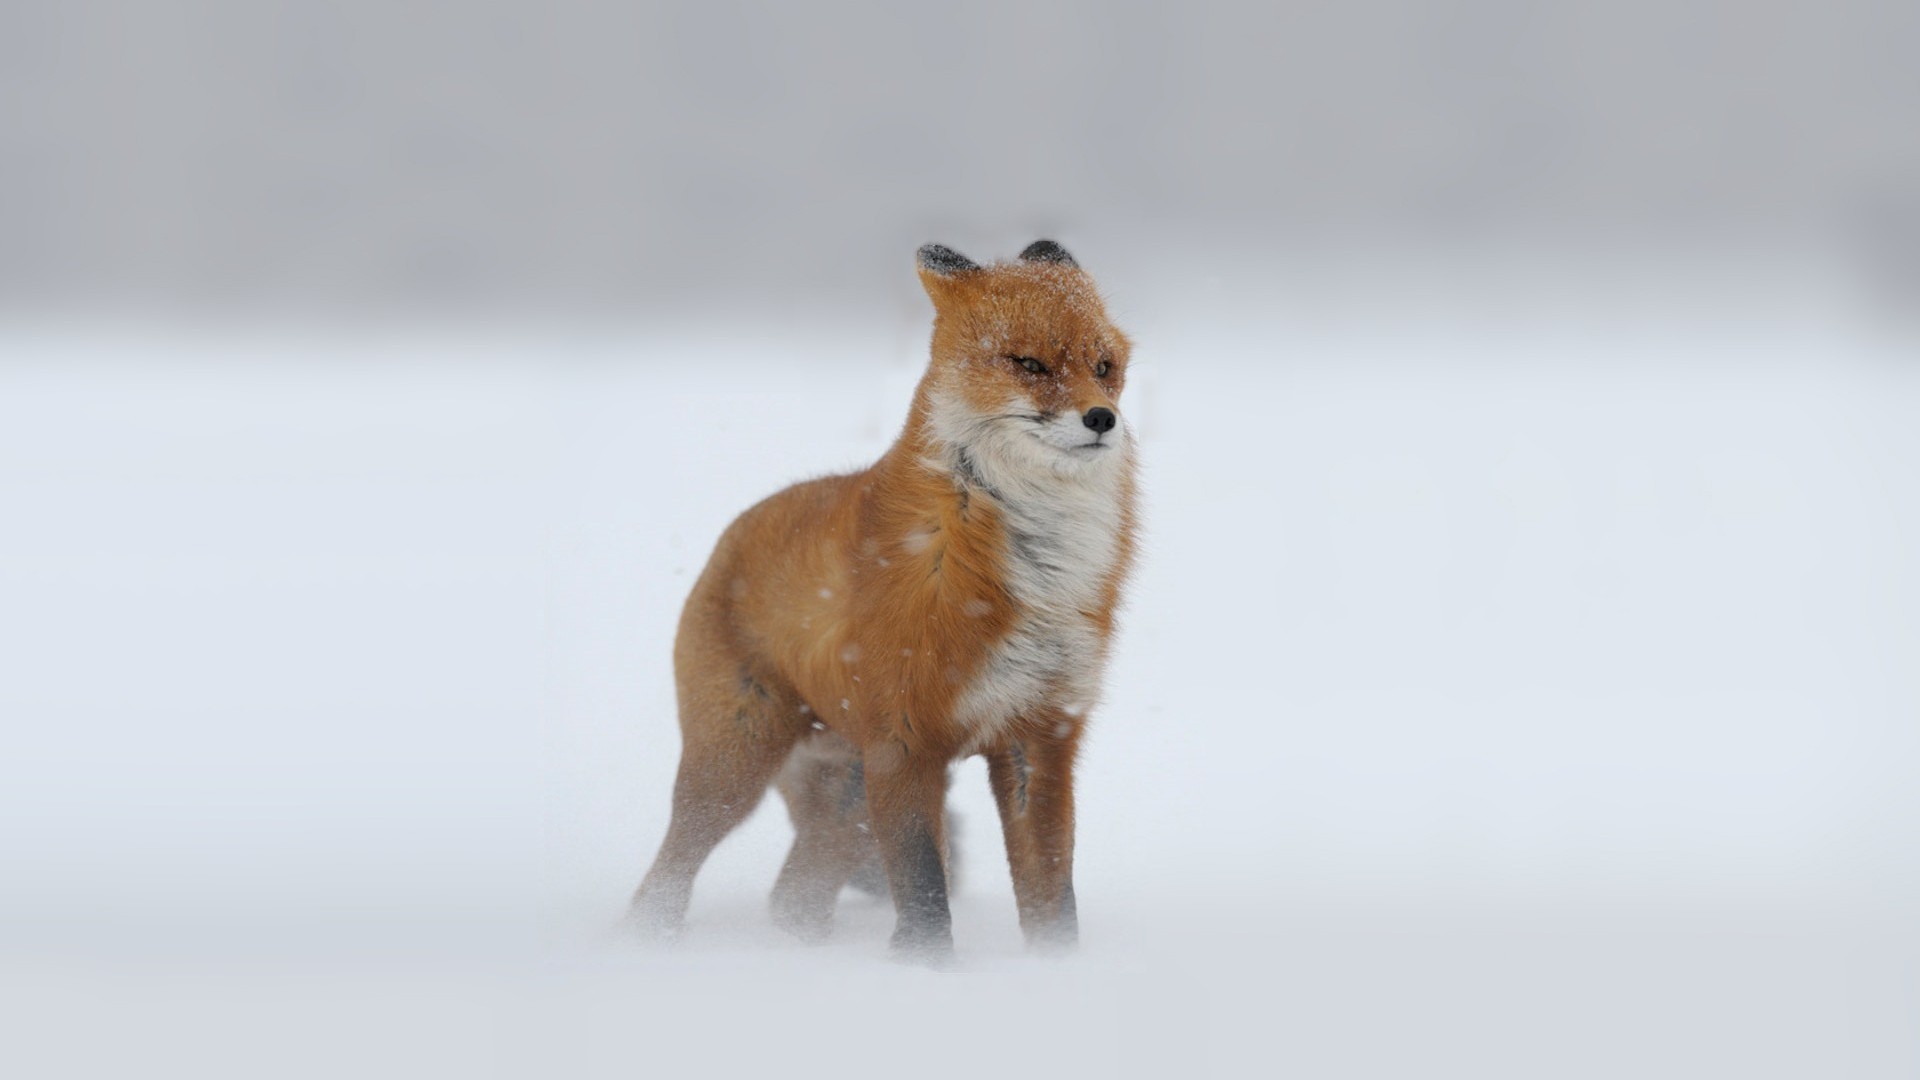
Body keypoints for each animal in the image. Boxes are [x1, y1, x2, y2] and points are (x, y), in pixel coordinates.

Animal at [629, 240, 1138, 961]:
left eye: (1104, 367)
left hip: (845, 793)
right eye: (1030, 364)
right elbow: (924, 890)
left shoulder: (1039, 736)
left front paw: (1055, 970)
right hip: (735, 766)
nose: (1102, 418)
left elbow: (1052, 893)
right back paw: (651, 945)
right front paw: (926, 973)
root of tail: (731, 533)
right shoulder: (904, 741)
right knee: (665, 879)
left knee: (794, 898)